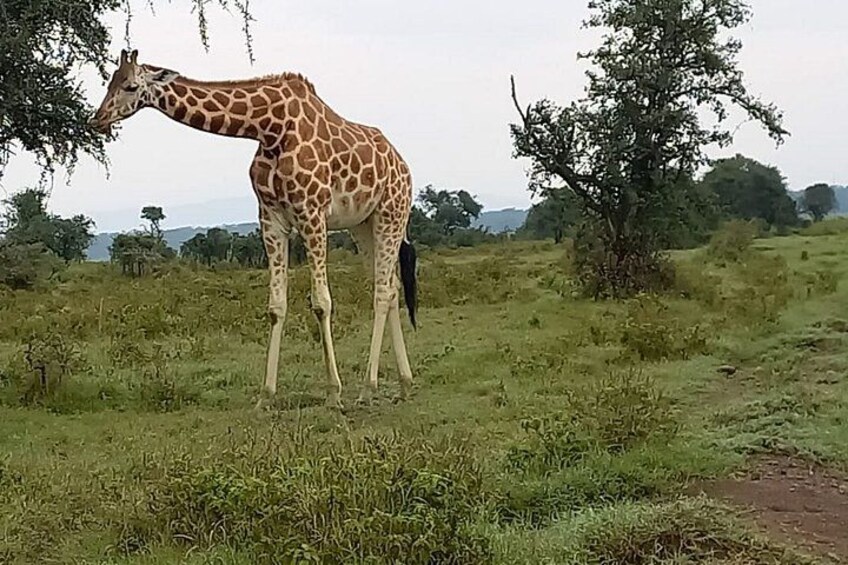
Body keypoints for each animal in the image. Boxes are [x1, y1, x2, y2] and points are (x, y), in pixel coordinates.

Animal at [90, 49, 418, 409]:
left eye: (131, 86)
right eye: (109, 82)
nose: (97, 118)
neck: (270, 129)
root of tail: (403, 165)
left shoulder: (312, 213)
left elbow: (321, 302)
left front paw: (334, 393)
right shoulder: (270, 218)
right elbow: (276, 306)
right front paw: (265, 395)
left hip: (391, 212)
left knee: (382, 292)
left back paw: (368, 387)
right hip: (363, 225)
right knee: (391, 286)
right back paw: (405, 383)